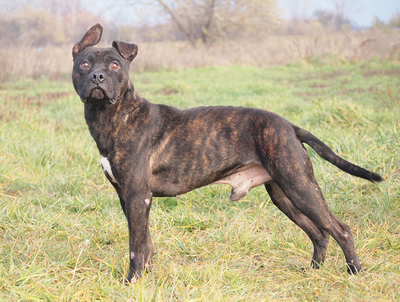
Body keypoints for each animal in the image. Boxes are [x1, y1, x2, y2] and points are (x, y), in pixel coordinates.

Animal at [71, 24, 382, 282]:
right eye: (84, 64)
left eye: (114, 64)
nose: (97, 76)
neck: (115, 116)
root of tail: (288, 125)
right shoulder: (128, 198)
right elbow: (145, 243)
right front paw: (146, 279)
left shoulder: (137, 196)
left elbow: (135, 246)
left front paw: (132, 282)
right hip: (284, 195)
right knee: (319, 234)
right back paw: (313, 270)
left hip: (300, 187)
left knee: (340, 229)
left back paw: (354, 272)